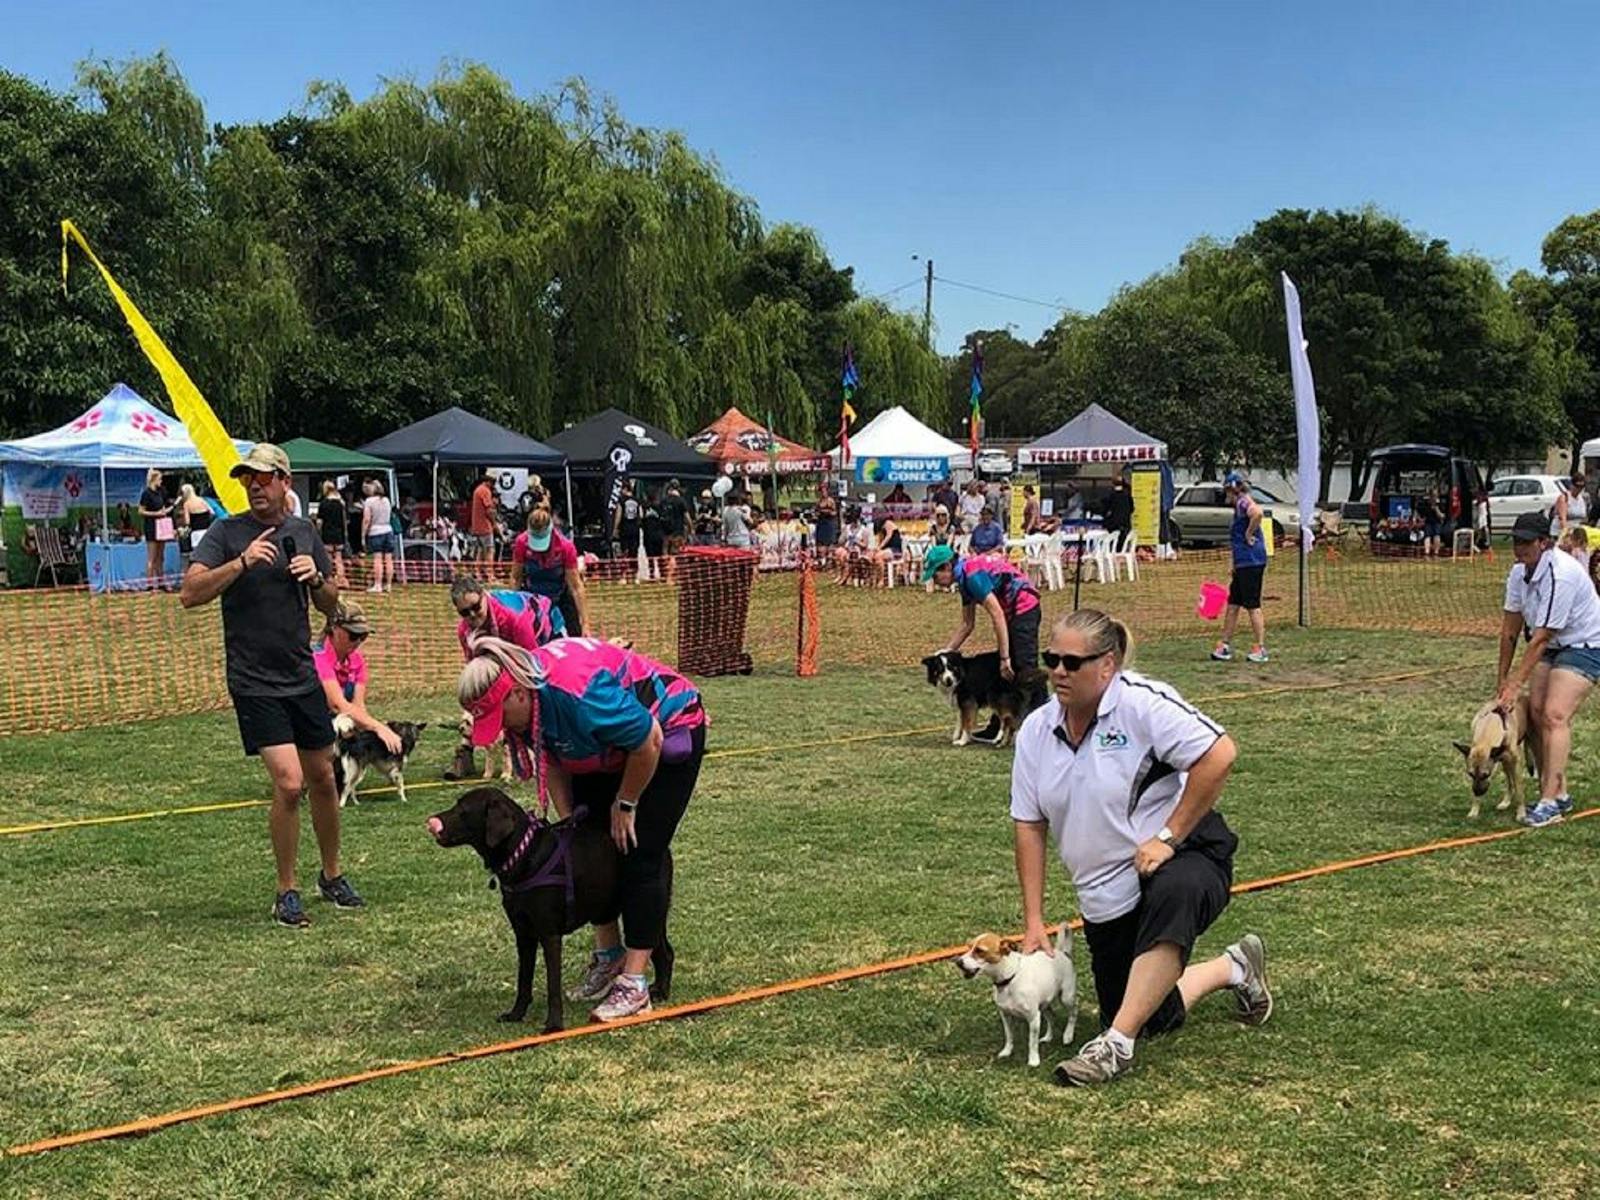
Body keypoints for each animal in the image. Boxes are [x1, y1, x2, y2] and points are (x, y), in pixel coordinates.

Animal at [953, 928, 1081, 1068]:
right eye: (968, 947)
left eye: (979, 950)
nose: (958, 962)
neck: (1009, 979)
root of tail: (1063, 952)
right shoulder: (1006, 1016)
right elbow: (1009, 1036)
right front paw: (1007, 1051)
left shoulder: (1033, 1018)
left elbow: (1032, 1043)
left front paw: (1033, 1060)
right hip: (1043, 1005)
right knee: (1052, 1016)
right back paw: (1048, 1037)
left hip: (1066, 998)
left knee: (1074, 1012)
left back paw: (1068, 1035)